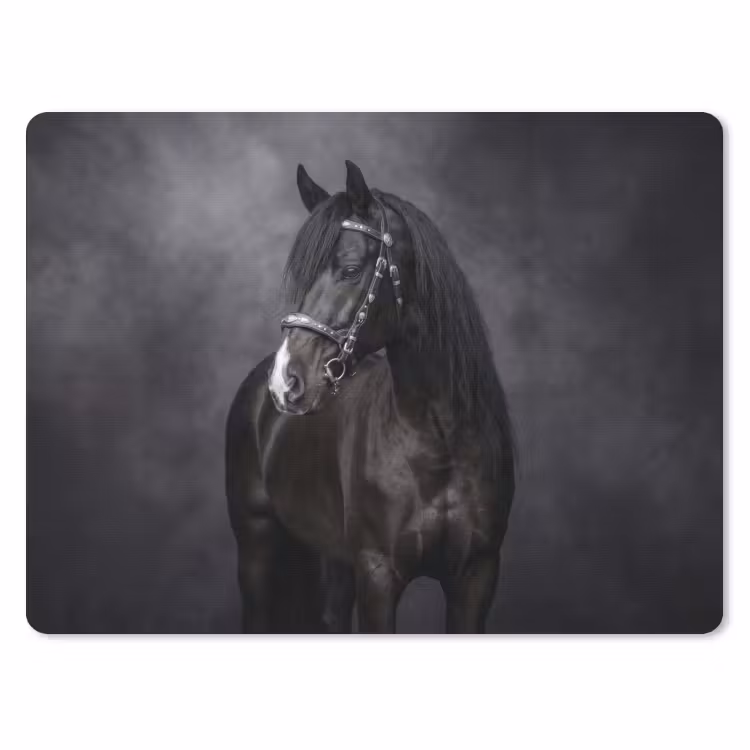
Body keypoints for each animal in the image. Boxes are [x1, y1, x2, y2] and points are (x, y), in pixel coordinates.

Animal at [226, 160, 515, 633]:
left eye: (349, 269)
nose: (285, 381)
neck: (440, 440)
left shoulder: (477, 574)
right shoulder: (378, 572)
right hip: (256, 543)